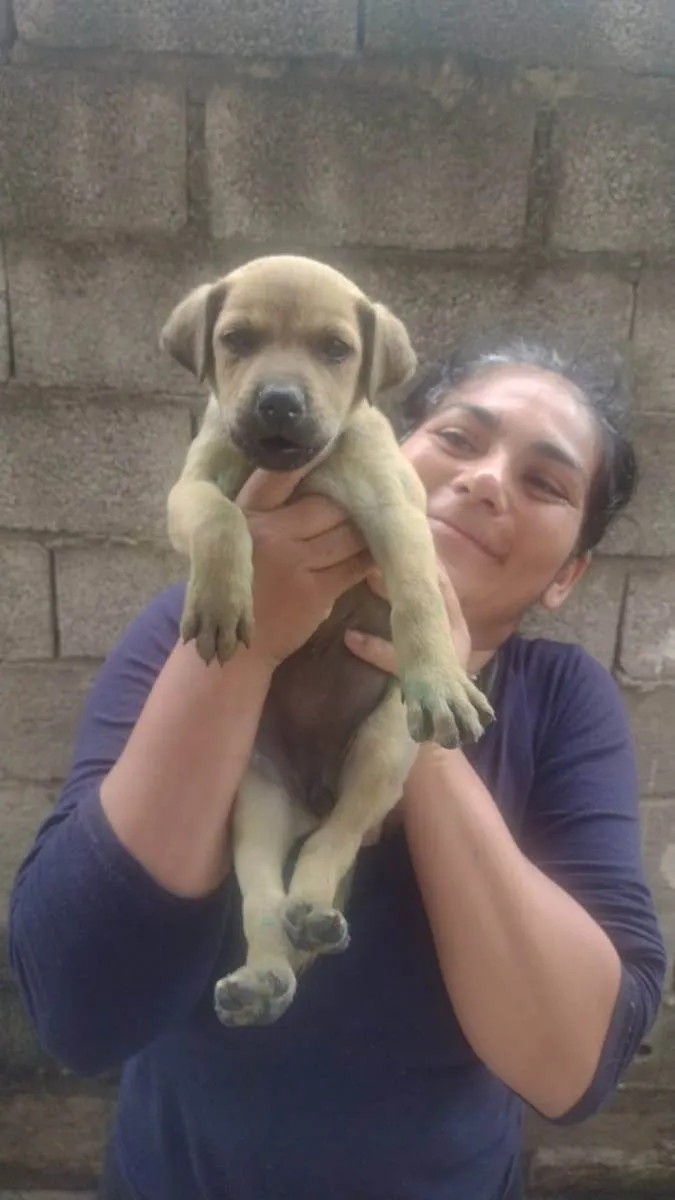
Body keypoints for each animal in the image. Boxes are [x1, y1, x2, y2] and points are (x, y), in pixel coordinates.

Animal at [159, 258, 492, 1027]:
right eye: (237, 340)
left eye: (336, 350)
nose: (279, 404)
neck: (303, 466)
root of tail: (312, 794)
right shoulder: (190, 487)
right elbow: (220, 514)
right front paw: (219, 599)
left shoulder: (395, 512)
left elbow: (418, 598)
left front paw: (440, 679)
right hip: (255, 798)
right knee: (261, 894)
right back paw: (263, 977)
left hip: (383, 748)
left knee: (331, 841)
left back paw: (311, 908)